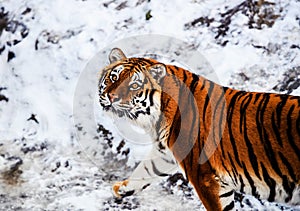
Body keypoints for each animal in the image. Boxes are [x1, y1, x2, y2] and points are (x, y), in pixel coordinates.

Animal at [97, 48, 298, 211]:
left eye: (134, 85)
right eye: (114, 77)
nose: (111, 96)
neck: (156, 118)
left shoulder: (204, 177)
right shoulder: (164, 154)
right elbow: (146, 170)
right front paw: (122, 188)